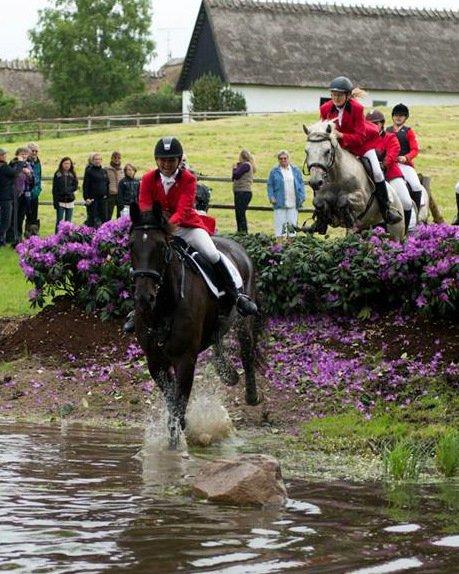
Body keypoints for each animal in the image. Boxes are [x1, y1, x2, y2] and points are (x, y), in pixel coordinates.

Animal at [130, 204, 258, 450]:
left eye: (161, 247)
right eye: (131, 245)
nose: (143, 298)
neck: (164, 305)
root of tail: (236, 246)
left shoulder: (185, 359)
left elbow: (179, 403)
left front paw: (175, 447)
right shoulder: (155, 360)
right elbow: (172, 401)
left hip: (243, 319)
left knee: (247, 350)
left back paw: (252, 395)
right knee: (218, 342)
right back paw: (228, 374)